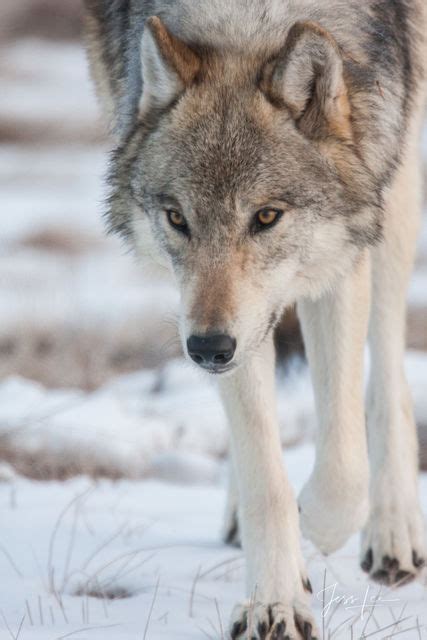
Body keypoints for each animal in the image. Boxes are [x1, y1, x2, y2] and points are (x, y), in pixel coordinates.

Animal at [83, 1, 427, 636]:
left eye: (266, 217)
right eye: (177, 218)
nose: (207, 350)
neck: (247, 21)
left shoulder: (344, 248)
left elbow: (343, 463)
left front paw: (319, 523)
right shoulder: (220, 321)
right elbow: (263, 471)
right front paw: (276, 601)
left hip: (400, 171)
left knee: (386, 368)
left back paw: (393, 531)